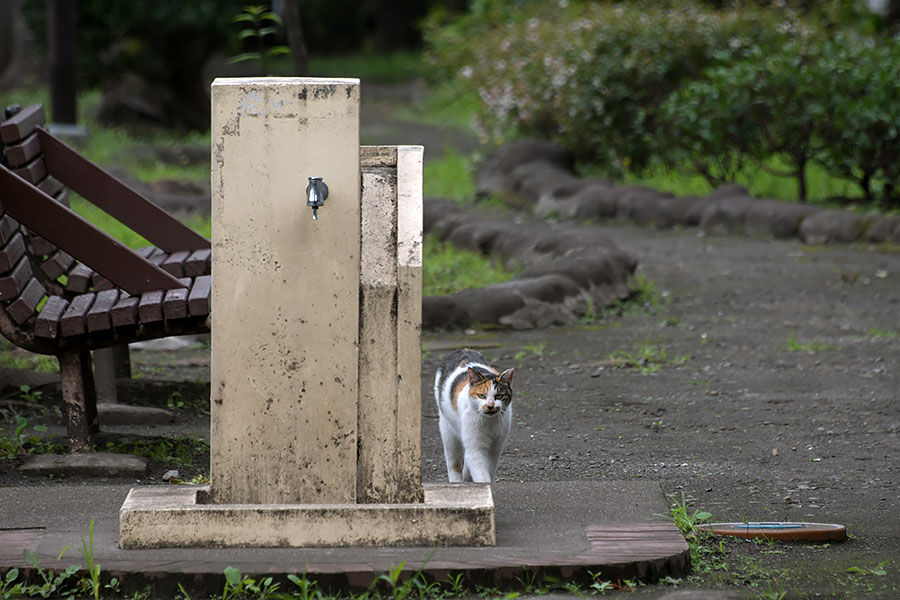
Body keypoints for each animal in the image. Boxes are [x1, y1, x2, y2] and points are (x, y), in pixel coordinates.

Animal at [434, 346, 512, 482]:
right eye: (481, 395)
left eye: (499, 396)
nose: (490, 406)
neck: (489, 422)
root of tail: (461, 350)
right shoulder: (475, 447)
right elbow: (481, 475)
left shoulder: (496, 447)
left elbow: (488, 469)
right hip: (448, 431)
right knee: (453, 462)